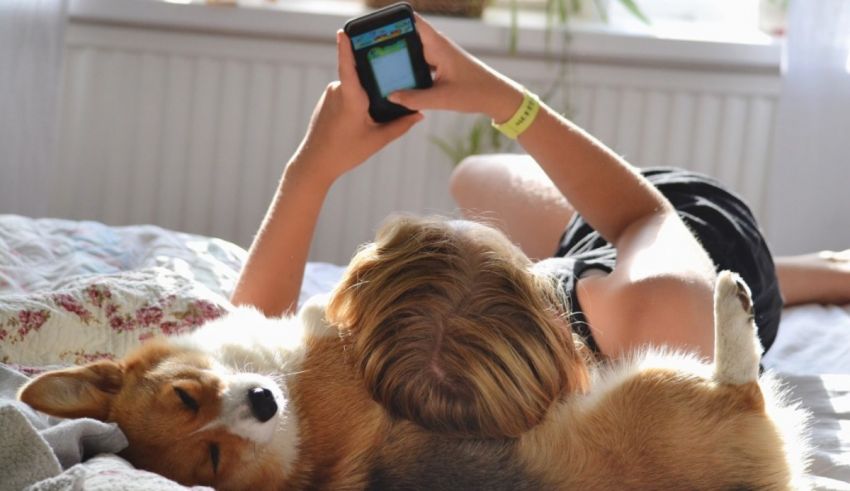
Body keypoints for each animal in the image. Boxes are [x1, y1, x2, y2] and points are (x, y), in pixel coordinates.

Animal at [16, 272, 804, 491]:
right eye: (211, 457)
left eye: (186, 395)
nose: (263, 402)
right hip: (659, 387)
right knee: (742, 377)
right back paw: (731, 303)